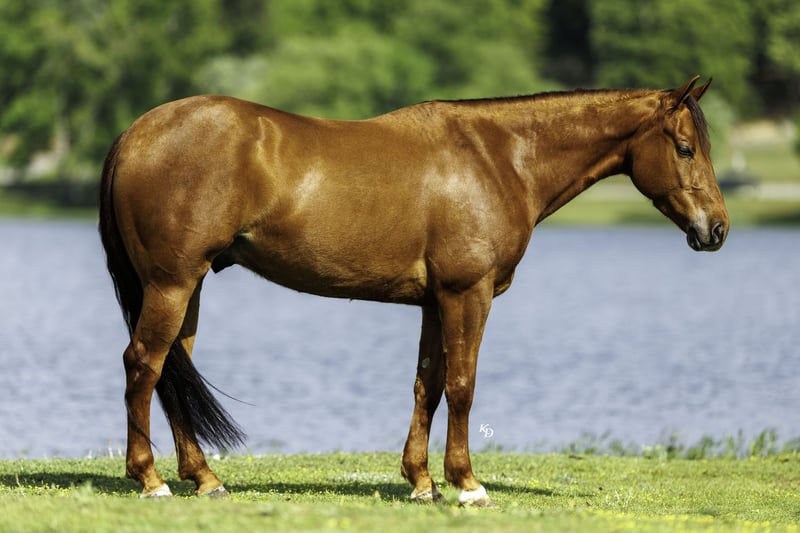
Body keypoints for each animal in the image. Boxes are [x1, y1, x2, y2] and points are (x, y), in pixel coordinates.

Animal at [99, 76, 728, 505]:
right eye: (685, 147)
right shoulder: (468, 294)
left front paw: (422, 482)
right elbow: (462, 386)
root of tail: (134, 134)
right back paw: (151, 479)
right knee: (144, 364)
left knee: (174, 369)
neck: (497, 158)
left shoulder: (435, 302)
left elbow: (427, 385)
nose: (716, 229)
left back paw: (204, 478)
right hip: (172, 283)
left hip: (189, 287)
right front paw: (468, 485)